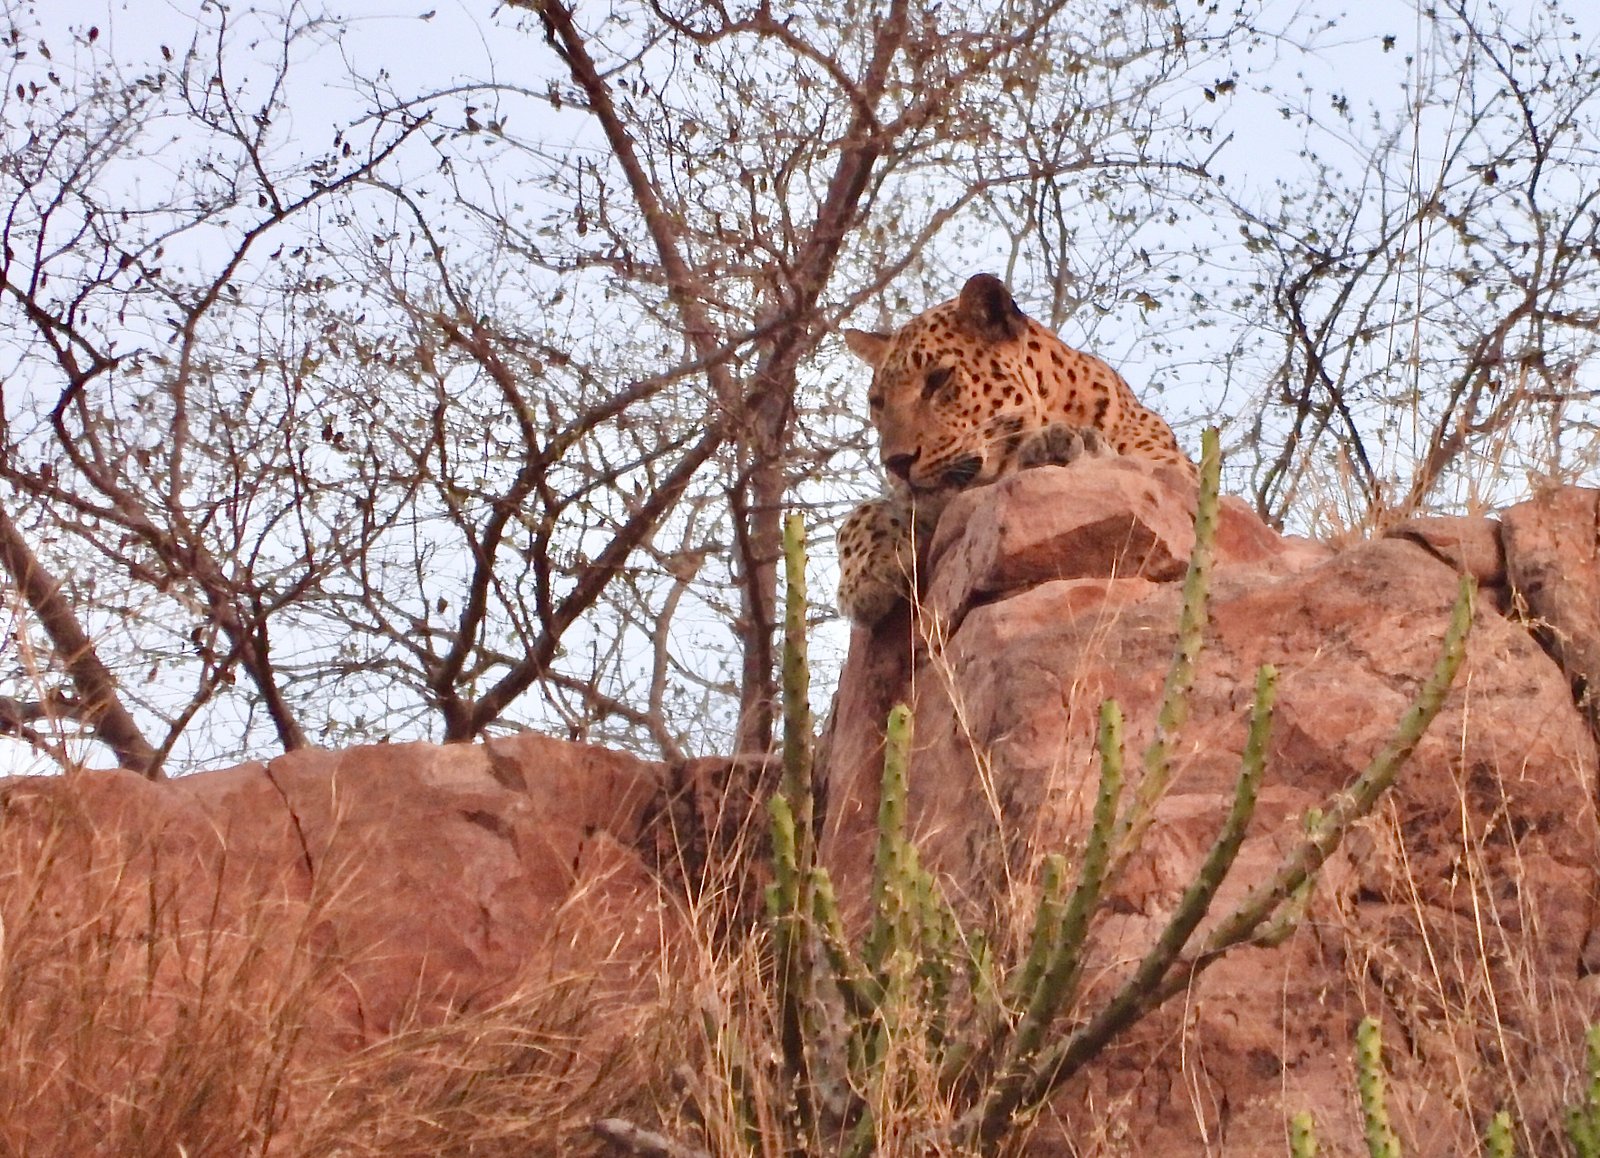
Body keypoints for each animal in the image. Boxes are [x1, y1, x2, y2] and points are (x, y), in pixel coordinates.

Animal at [836, 273, 1195, 625]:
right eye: (878, 402)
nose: (896, 463)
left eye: (938, 379)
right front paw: (866, 578)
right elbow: (862, 513)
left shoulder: (1174, 470)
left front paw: (1063, 445)